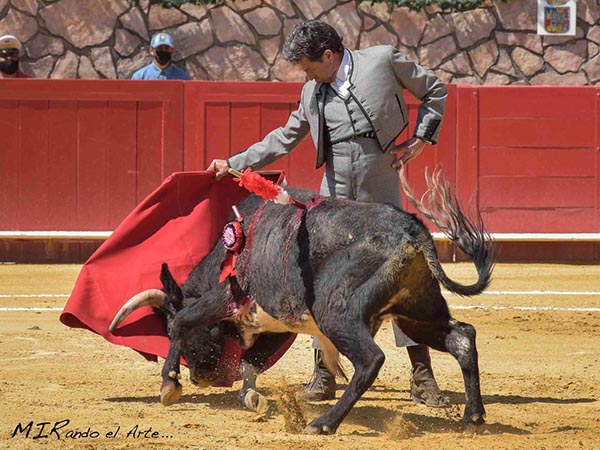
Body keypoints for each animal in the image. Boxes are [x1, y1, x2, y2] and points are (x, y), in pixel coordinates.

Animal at [110, 171, 494, 432]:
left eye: (165, 327)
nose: (200, 378)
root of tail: (411, 230)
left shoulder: (227, 297)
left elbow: (183, 320)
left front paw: (169, 384)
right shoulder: (276, 322)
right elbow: (252, 362)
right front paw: (251, 398)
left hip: (337, 315)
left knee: (371, 359)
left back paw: (324, 423)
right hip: (416, 312)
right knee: (462, 338)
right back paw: (473, 417)